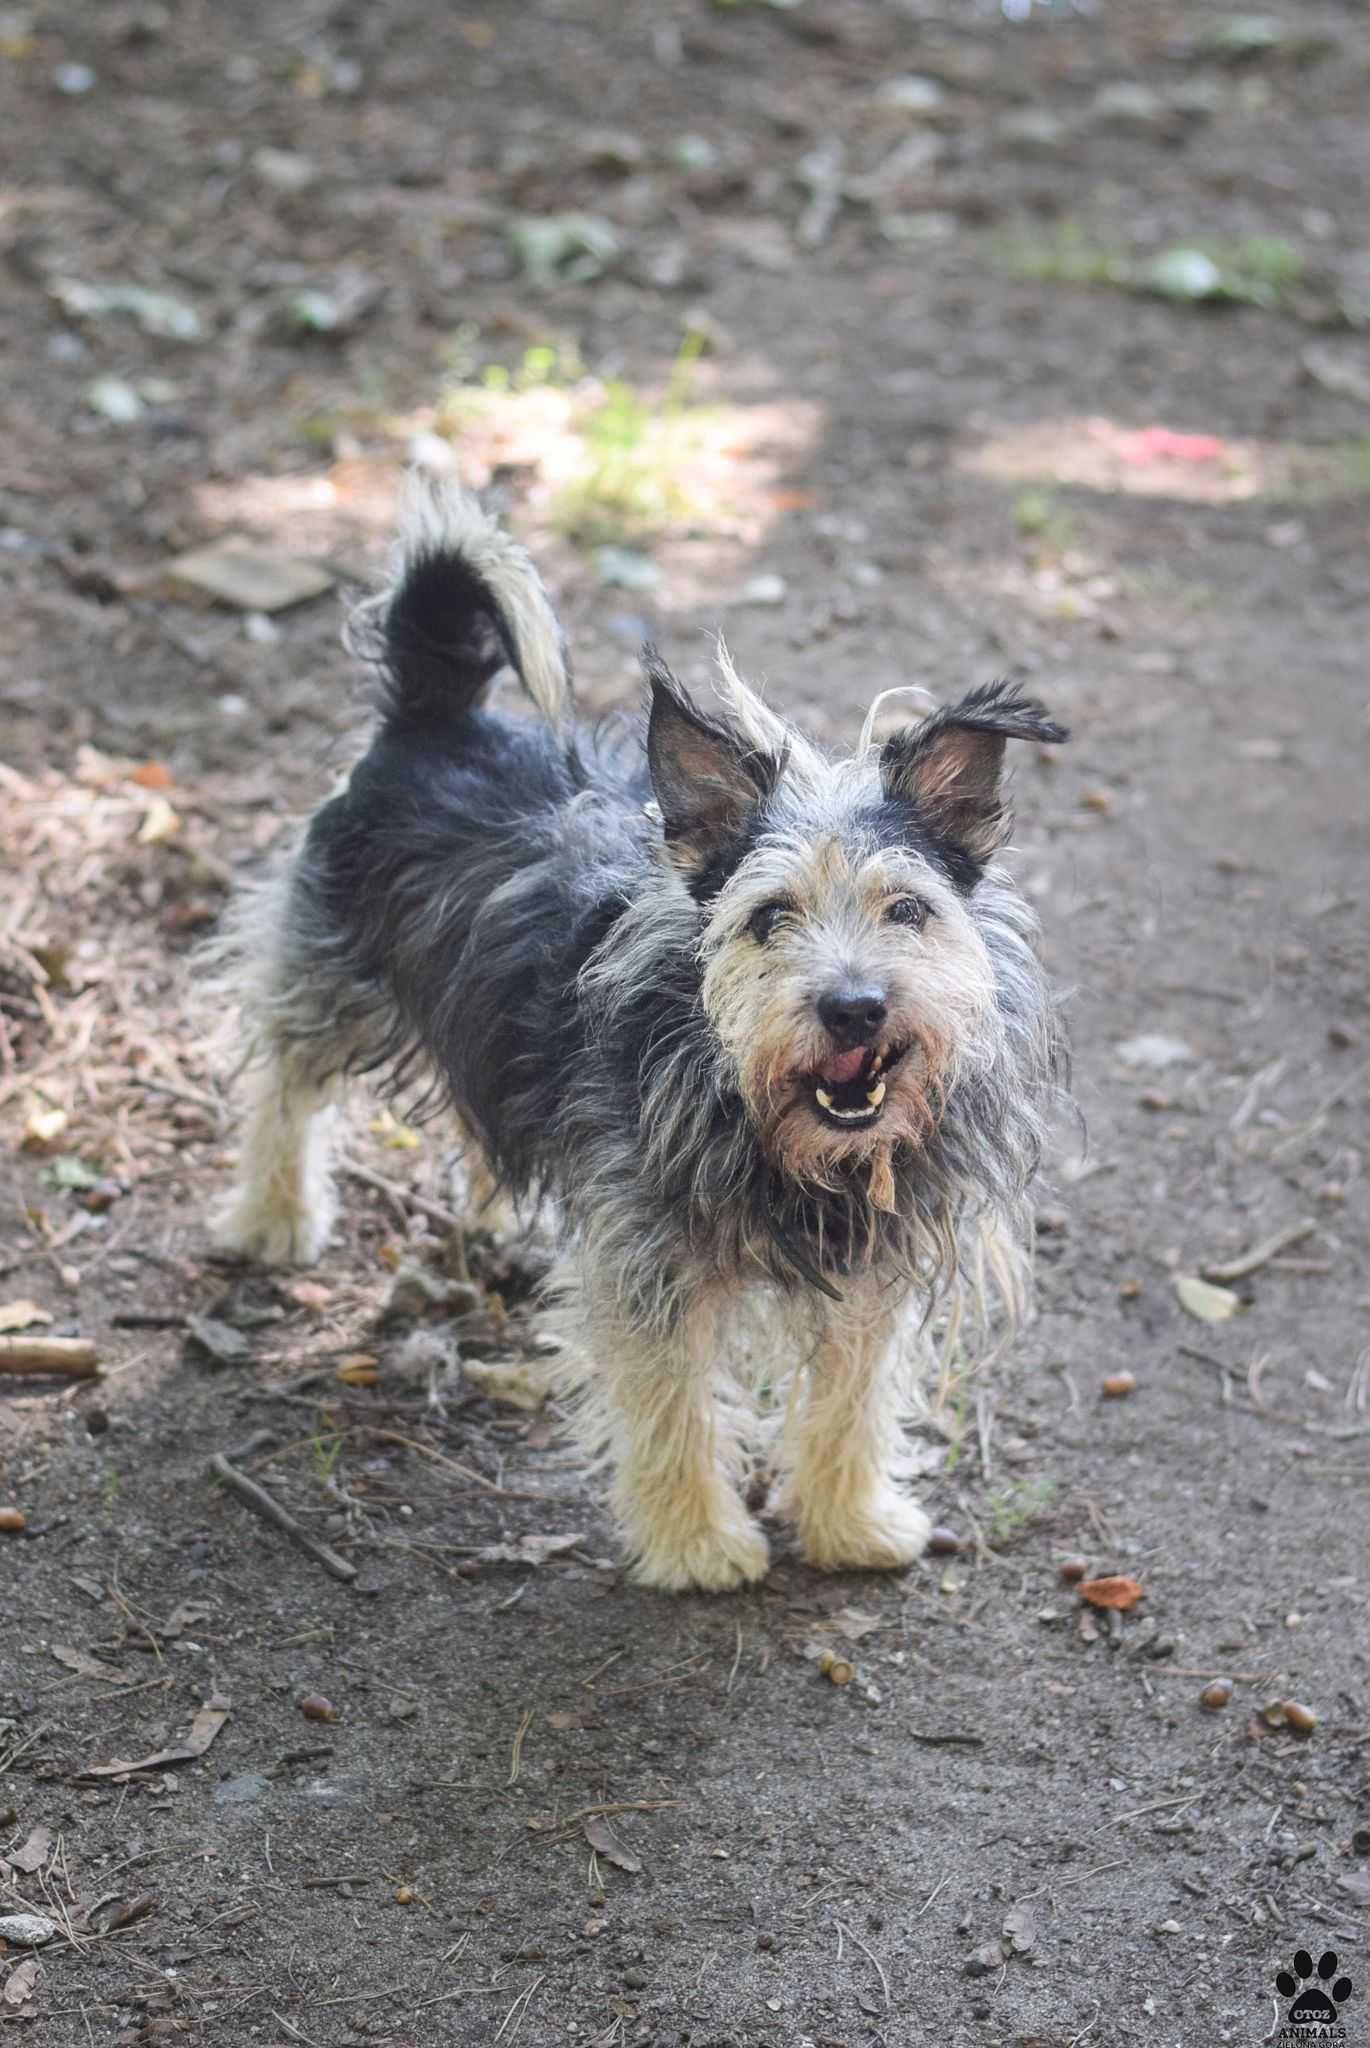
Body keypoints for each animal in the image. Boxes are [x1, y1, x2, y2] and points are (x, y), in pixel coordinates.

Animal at [216, 483, 1064, 1597]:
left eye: (907, 909)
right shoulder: (647, 1264)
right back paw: (274, 1213)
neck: (787, 1138)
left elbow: (850, 1395)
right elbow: (670, 1405)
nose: (852, 1007)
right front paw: (697, 1541)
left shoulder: (871, 1267)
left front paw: (847, 1519)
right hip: (330, 971)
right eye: (769, 917)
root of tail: (434, 711)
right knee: (284, 1079)